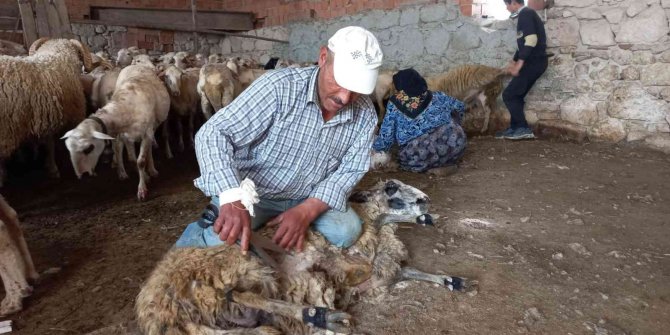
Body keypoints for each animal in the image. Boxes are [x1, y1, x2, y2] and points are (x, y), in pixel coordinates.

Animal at [0, 38, 93, 188]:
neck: (57, 55)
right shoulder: (59, 118)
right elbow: (51, 145)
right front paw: (54, 168)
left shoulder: (45, 119)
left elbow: (48, 143)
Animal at [61, 66, 171, 202]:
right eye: (68, 149)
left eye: (88, 148)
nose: (83, 175)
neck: (125, 106)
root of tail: (136, 65)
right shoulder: (125, 135)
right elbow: (132, 159)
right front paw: (144, 177)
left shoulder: (146, 132)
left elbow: (141, 161)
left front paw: (142, 189)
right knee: (118, 148)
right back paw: (123, 172)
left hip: (153, 125)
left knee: (147, 147)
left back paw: (152, 169)